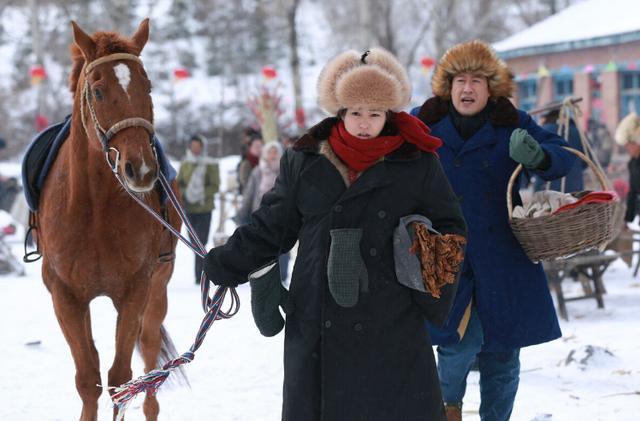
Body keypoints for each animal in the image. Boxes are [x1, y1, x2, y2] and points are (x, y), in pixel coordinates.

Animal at [35, 18, 180, 418]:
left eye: (148, 86)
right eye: (98, 92)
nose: (141, 169)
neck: (95, 209)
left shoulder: (136, 290)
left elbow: (120, 380)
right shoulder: (65, 296)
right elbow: (88, 379)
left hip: (158, 290)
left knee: (149, 356)